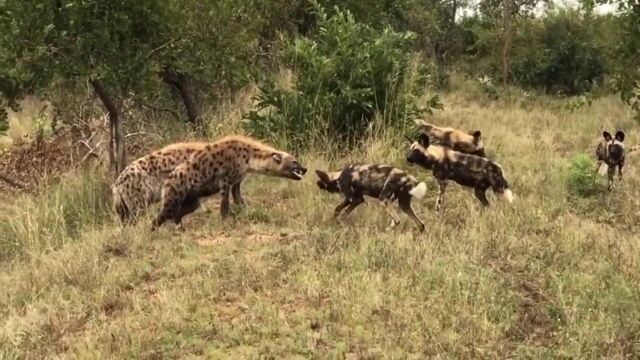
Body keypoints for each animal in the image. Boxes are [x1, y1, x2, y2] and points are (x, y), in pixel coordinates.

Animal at [152, 135, 308, 231]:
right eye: (295, 162)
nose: (305, 169)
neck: (248, 157)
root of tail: (167, 180)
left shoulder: (236, 181)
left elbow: (238, 198)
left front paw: (246, 211)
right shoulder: (225, 180)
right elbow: (225, 202)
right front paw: (227, 219)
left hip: (192, 201)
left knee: (178, 214)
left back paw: (181, 230)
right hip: (173, 197)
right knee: (160, 217)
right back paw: (153, 233)